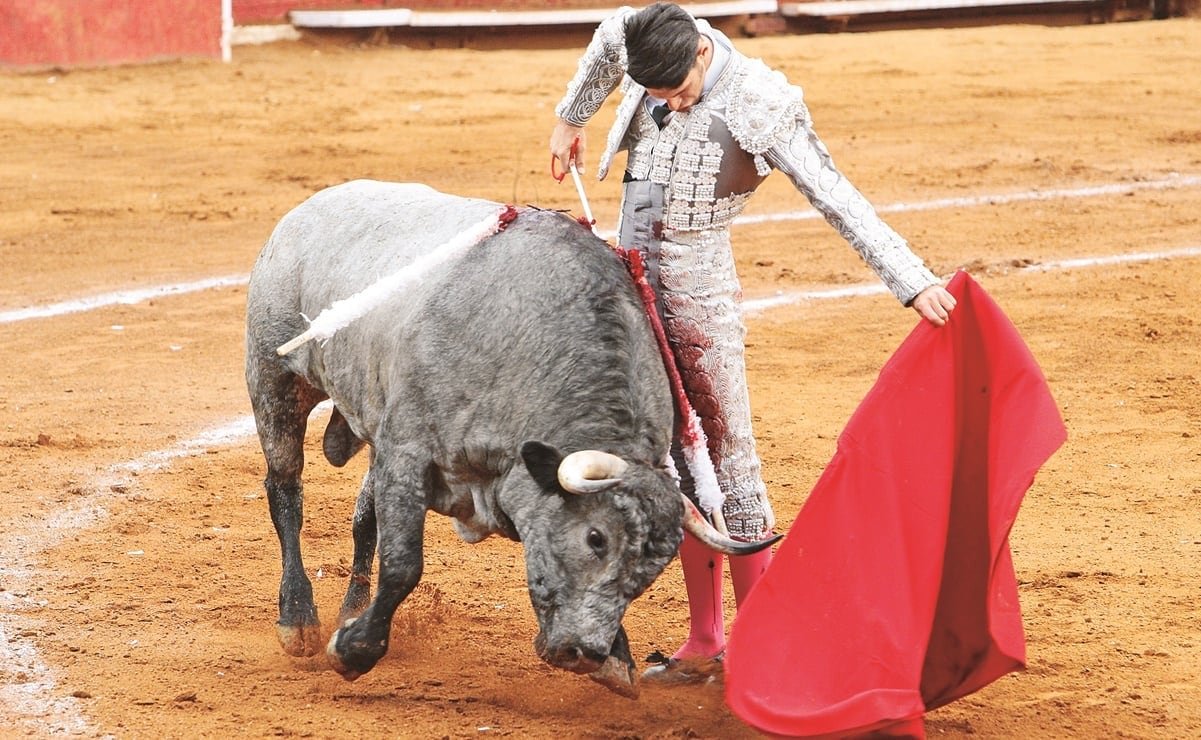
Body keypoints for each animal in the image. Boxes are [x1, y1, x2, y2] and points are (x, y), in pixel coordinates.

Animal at [245, 178, 768, 691]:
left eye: (655, 567)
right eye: (596, 538)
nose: (584, 653)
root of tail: (308, 208)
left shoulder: (398, 452)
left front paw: (619, 660)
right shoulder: (406, 451)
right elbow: (403, 565)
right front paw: (354, 651)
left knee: (361, 517)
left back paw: (349, 609)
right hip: (273, 378)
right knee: (285, 491)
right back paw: (298, 620)